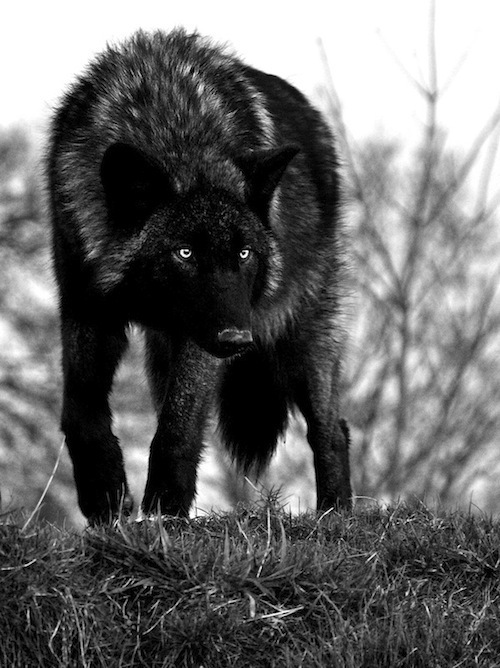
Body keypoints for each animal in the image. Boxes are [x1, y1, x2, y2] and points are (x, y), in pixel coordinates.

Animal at [47, 29, 352, 523]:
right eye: (184, 252)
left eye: (244, 253)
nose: (237, 339)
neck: (171, 128)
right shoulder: (84, 301)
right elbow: (81, 408)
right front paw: (105, 495)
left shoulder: (203, 332)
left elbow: (181, 422)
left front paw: (165, 505)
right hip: (166, 351)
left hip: (302, 338)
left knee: (332, 429)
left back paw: (336, 515)